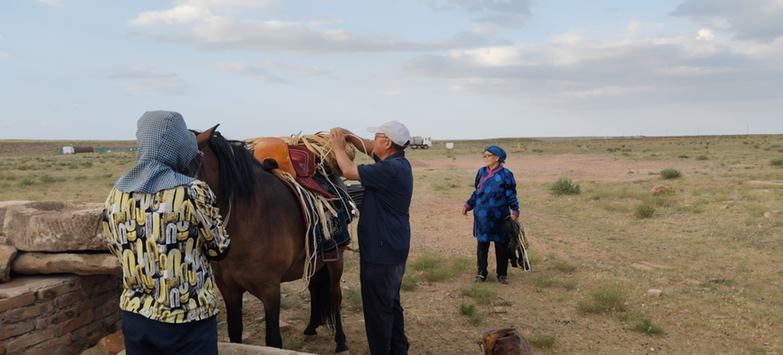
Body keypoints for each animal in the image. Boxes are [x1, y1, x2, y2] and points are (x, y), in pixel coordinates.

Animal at [193, 127, 350, 354]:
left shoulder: (270, 290)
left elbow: (274, 340)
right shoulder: (228, 289)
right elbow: (235, 335)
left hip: (336, 259)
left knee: (335, 295)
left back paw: (341, 342)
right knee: (314, 287)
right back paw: (312, 326)